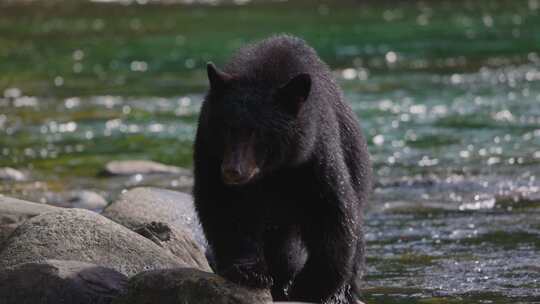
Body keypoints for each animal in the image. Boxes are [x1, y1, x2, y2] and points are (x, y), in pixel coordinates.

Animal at [193, 34, 372, 302]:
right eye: (225, 127)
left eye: (258, 131)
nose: (232, 171)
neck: (271, 173)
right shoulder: (210, 152)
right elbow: (221, 206)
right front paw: (249, 272)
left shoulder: (313, 154)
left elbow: (332, 213)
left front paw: (311, 286)